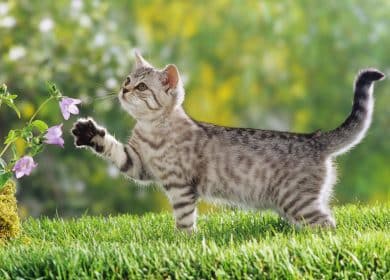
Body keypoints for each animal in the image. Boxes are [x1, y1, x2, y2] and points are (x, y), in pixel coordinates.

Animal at [71, 52, 386, 232]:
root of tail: (315, 139)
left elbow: (184, 220)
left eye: (142, 86)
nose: (123, 90)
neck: (152, 130)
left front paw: (183, 241)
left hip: (296, 200)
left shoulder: (180, 185)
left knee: (329, 226)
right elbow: (113, 149)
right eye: (127, 79)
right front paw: (89, 132)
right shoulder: (138, 164)